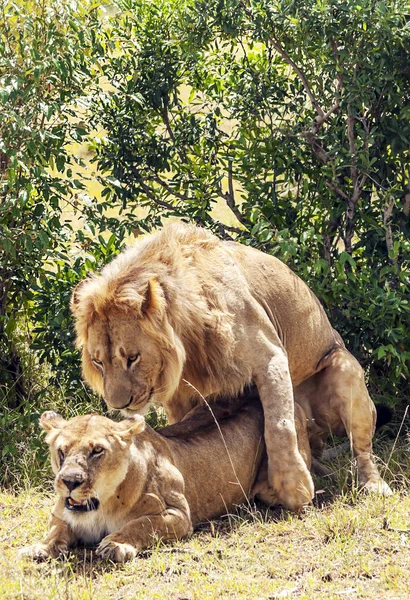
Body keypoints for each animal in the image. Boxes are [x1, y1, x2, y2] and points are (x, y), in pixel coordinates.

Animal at [18, 396, 310, 560]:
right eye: (62, 451)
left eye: (97, 450)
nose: (69, 482)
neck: (100, 505)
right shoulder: (60, 515)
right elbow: (56, 531)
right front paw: (39, 548)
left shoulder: (179, 515)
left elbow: (141, 524)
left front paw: (115, 545)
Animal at [70, 223, 390, 508]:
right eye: (98, 362)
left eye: (132, 358)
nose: (118, 404)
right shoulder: (180, 395)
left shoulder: (271, 356)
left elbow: (279, 426)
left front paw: (293, 486)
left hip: (345, 369)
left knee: (361, 449)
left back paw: (374, 484)